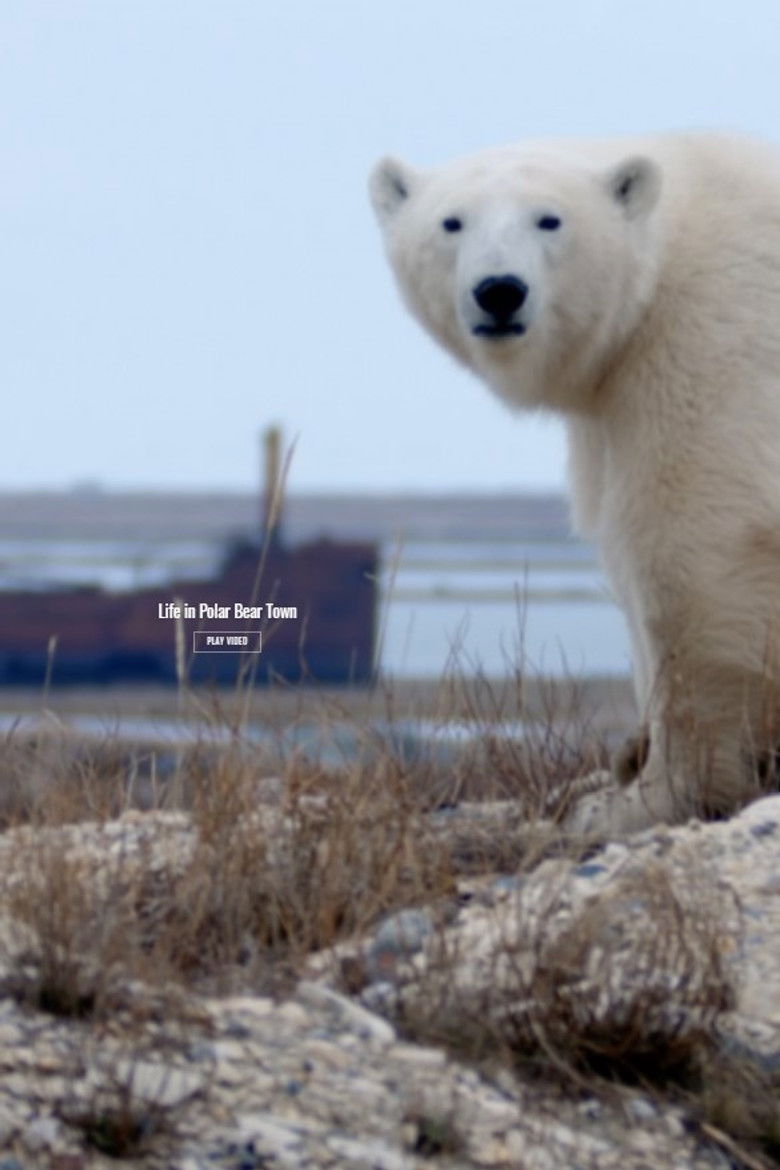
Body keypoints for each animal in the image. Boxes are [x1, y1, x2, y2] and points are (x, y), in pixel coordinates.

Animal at [369, 132, 780, 835]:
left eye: (549, 219)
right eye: (452, 222)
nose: (499, 291)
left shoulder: (711, 338)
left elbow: (691, 543)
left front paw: (656, 795)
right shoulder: (611, 406)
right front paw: (617, 768)